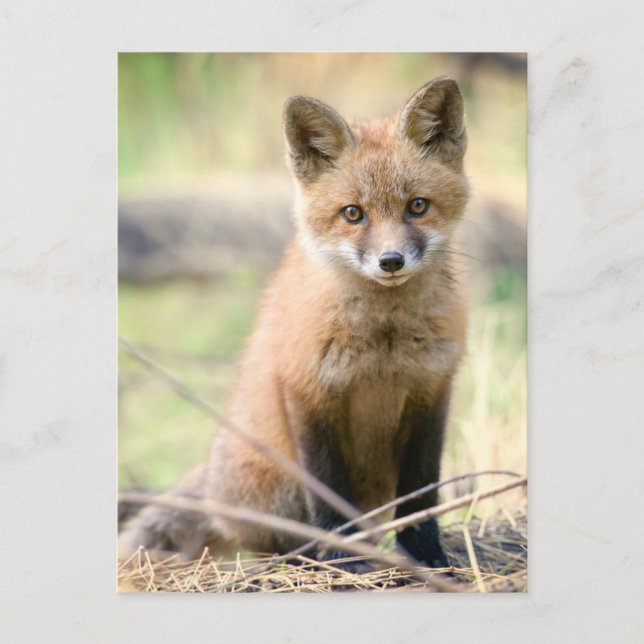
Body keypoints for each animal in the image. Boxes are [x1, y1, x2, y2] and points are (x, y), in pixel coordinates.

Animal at [119, 77, 469, 570]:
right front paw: (339, 558)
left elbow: (421, 492)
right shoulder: (308, 389)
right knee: (268, 540)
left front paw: (428, 556)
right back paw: (303, 556)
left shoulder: (432, 392)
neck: (384, 344)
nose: (391, 261)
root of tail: (213, 485)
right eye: (353, 213)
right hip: (275, 487)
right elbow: (327, 491)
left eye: (417, 206)